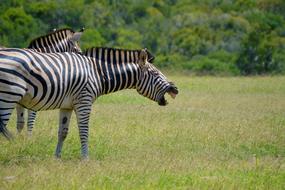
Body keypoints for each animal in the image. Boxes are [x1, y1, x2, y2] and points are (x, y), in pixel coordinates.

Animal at [0, 47, 178, 159]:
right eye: (155, 74)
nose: (175, 89)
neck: (98, 74)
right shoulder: (84, 101)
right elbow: (84, 132)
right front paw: (85, 158)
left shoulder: (66, 105)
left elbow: (62, 133)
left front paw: (57, 157)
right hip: (9, 95)